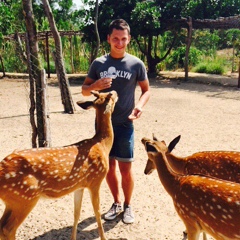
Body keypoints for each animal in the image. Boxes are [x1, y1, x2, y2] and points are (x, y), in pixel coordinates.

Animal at [0, 90, 117, 240]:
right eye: (110, 96)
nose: (115, 91)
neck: (102, 145)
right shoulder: (95, 180)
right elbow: (97, 212)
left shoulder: (79, 186)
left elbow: (76, 213)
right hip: (25, 197)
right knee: (8, 229)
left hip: (12, 201)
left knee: (2, 226)